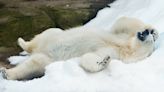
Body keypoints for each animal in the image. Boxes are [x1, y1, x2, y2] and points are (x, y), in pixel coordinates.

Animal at [0, 16, 159, 80]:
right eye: (147, 35)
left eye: (148, 41)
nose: (146, 33)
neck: (126, 48)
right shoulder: (120, 37)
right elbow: (120, 23)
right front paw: (154, 30)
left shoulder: (116, 54)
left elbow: (91, 57)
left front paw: (102, 62)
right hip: (53, 36)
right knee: (47, 34)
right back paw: (22, 42)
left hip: (46, 59)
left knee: (33, 65)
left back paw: (8, 73)